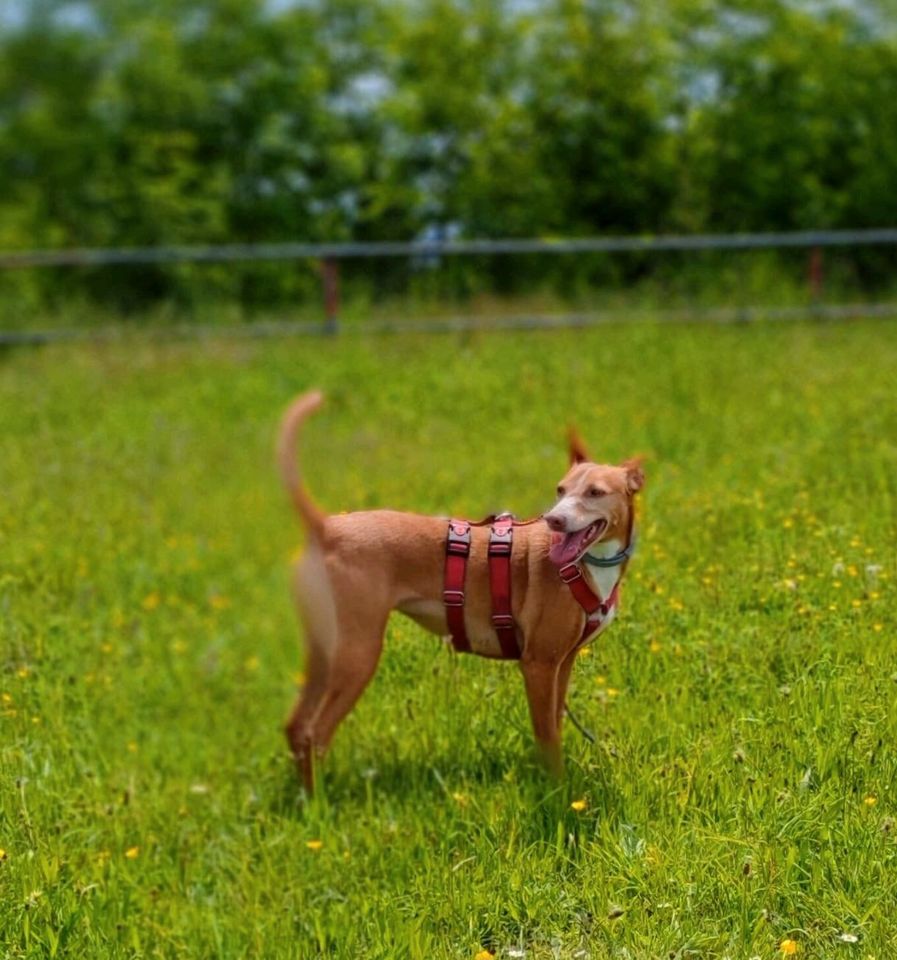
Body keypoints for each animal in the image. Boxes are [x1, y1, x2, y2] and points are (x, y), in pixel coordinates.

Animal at [276, 390, 640, 788]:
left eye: (595, 492)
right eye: (560, 490)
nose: (554, 519)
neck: (588, 565)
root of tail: (325, 527)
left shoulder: (563, 662)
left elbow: (555, 726)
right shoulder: (539, 664)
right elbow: (548, 736)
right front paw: (557, 790)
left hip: (325, 652)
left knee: (296, 727)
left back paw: (304, 795)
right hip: (357, 654)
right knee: (316, 734)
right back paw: (322, 799)